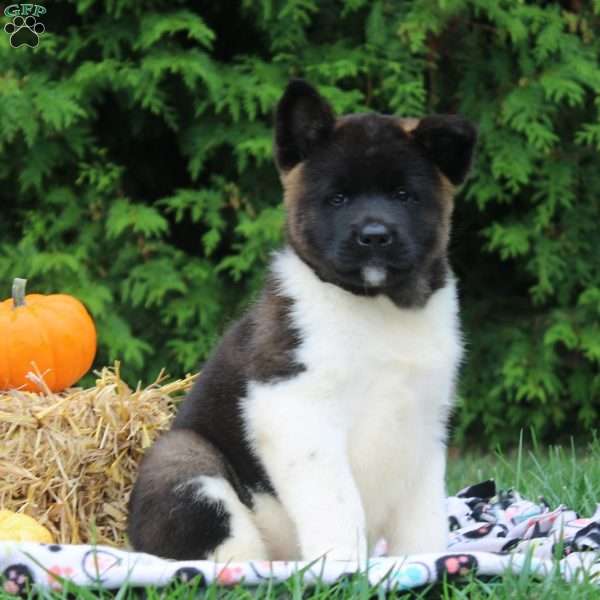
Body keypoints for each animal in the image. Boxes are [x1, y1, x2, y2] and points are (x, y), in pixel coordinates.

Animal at [127, 79, 478, 564]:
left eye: (404, 196)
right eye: (338, 198)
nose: (374, 236)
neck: (376, 308)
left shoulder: (424, 427)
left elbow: (424, 520)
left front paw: (426, 563)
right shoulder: (294, 409)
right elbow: (338, 504)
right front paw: (343, 567)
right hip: (184, 460)